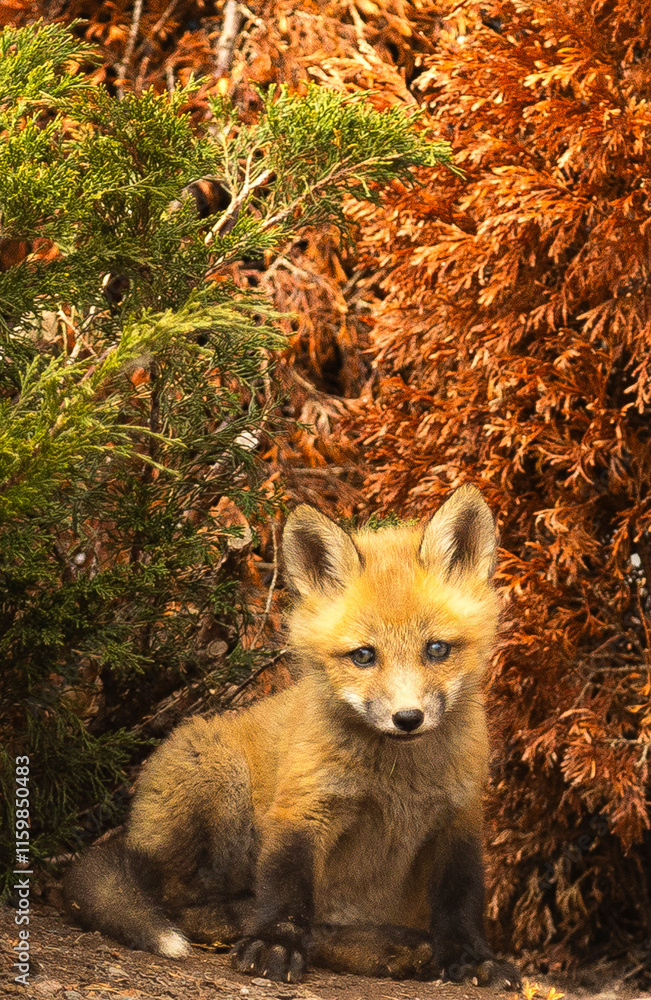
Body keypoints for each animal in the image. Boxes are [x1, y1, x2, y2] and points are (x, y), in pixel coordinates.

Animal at [63, 485, 520, 988]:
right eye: (364, 656)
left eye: (437, 649)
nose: (407, 718)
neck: (398, 782)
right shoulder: (303, 807)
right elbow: (286, 891)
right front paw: (275, 945)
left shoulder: (458, 817)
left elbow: (461, 901)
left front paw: (472, 959)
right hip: (218, 779)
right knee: (191, 908)